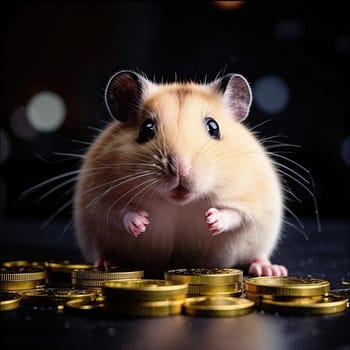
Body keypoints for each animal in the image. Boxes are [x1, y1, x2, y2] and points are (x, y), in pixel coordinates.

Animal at [73, 69, 288, 276]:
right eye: (146, 129)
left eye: (213, 127)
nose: (179, 169)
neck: (179, 203)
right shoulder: (100, 199)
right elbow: (119, 212)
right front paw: (142, 222)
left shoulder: (253, 199)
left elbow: (235, 214)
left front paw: (211, 219)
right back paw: (105, 263)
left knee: (256, 255)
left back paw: (270, 270)